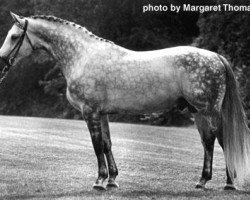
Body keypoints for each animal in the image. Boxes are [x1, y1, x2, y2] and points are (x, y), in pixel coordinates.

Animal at [0, 12, 249, 191]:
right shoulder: (101, 114)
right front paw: (112, 180)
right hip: (198, 112)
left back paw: (226, 183)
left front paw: (99, 181)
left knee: (220, 141)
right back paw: (205, 181)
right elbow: (107, 144)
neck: (82, 55)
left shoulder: (90, 112)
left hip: (210, 111)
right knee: (210, 142)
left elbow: (97, 145)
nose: (2, 60)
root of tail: (215, 56)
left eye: (14, 36)